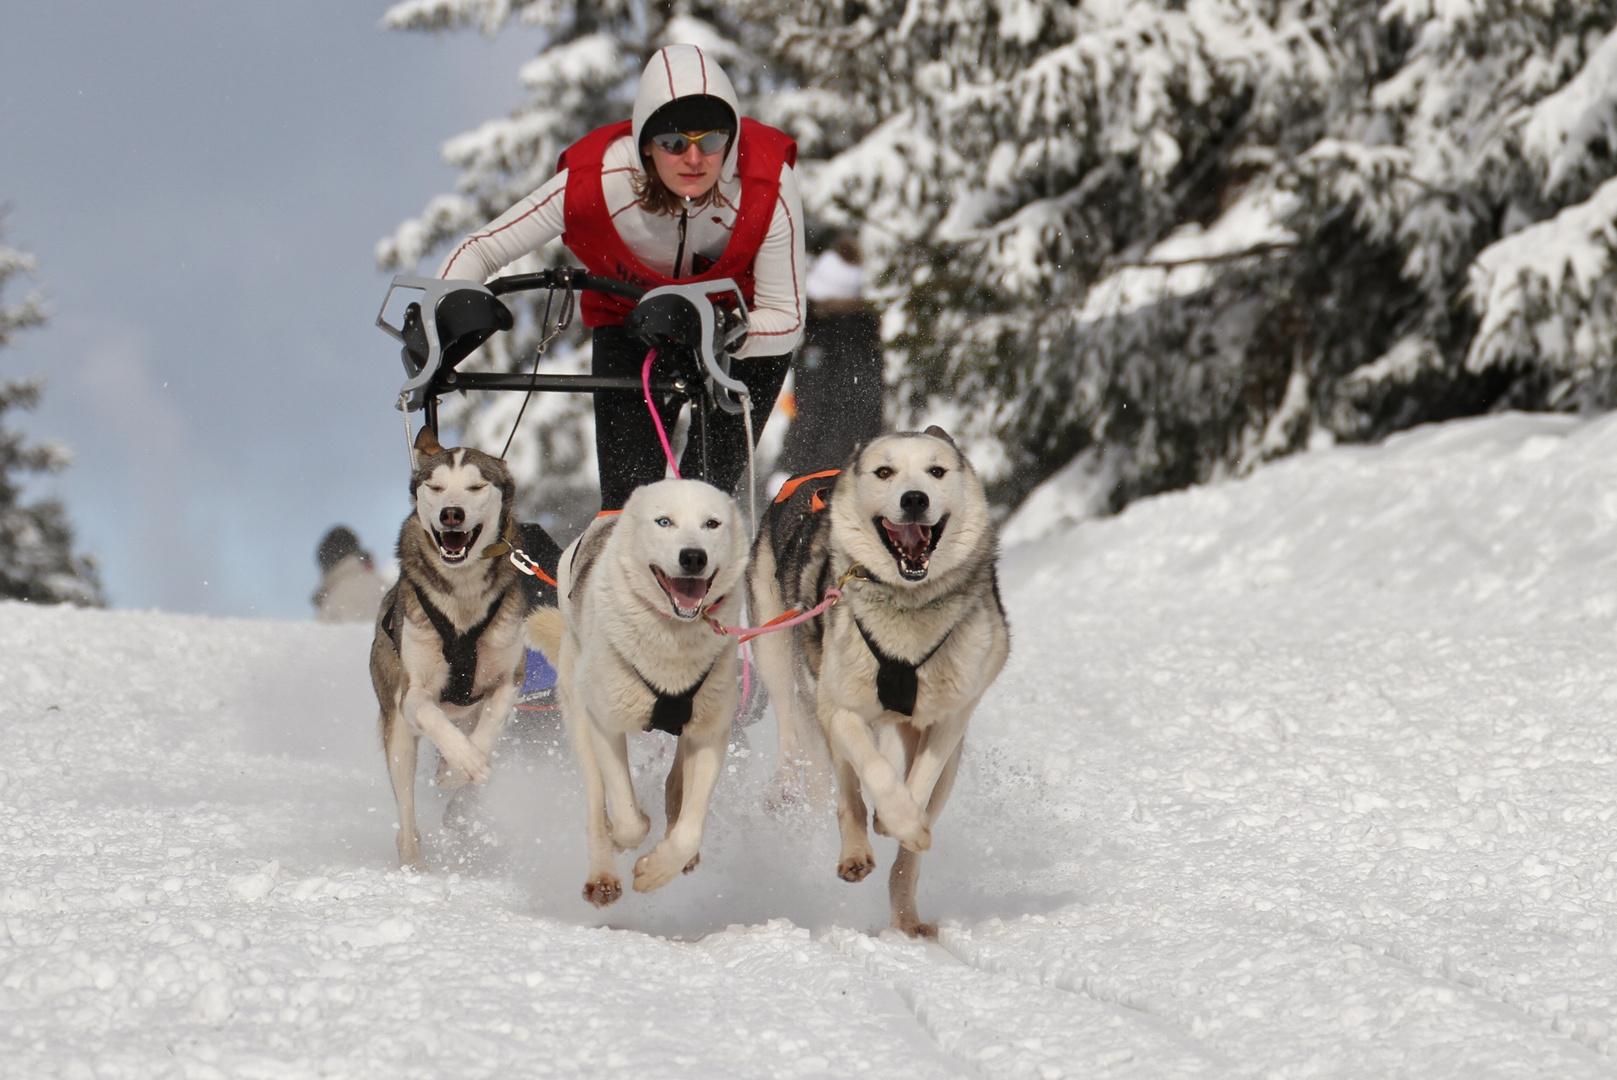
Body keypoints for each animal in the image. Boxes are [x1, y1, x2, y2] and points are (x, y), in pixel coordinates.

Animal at [370, 426, 543, 866]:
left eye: (476, 486)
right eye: (435, 486)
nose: (452, 513)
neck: (463, 600)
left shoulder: (510, 678)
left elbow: (490, 727)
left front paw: (458, 768)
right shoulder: (414, 693)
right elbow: (431, 715)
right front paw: (461, 762)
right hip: (397, 734)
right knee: (406, 815)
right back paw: (412, 860)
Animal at [530, 475, 750, 905]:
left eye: (712, 523)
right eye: (664, 521)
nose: (693, 557)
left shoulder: (711, 731)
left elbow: (689, 827)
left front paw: (657, 869)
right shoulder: (604, 724)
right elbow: (627, 816)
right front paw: (631, 833)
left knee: (676, 784)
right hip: (579, 720)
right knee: (597, 805)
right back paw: (603, 872)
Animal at [747, 430, 1002, 937]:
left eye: (937, 471)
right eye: (884, 472)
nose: (915, 499)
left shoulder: (948, 720)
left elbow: (918, 784)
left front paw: (903, 822)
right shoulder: (840, 709)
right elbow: (873, 776)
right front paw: (884, 819)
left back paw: (905, 912)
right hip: (777, 657)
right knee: (802, 740)